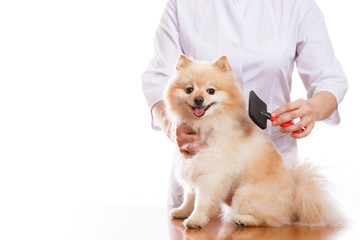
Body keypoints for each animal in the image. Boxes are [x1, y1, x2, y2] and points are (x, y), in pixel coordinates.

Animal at [164, 54, 344, 229]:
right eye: (189, 89)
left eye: (211, 91)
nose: (199, 99)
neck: (205, 124)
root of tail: (295, 198)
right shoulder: (192, 166)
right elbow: (190, 197)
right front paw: (183, 211)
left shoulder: (211, 175)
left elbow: (202, 202)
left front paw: (196, 219)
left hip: (246, 193)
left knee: (273, 219)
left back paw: (244, 220)